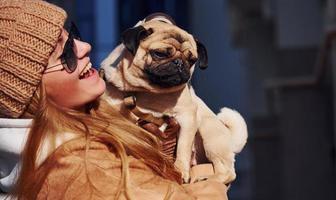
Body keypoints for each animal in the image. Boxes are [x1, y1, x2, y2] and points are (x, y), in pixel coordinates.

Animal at [100, 13, 247, 184]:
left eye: (192, 60)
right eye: (160, 53)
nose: (179, 63)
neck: (148, 92)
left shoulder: (187, 117)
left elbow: (183, 147)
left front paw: (181, 170)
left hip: (209, 134)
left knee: (228, 172)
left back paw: (208, 178)